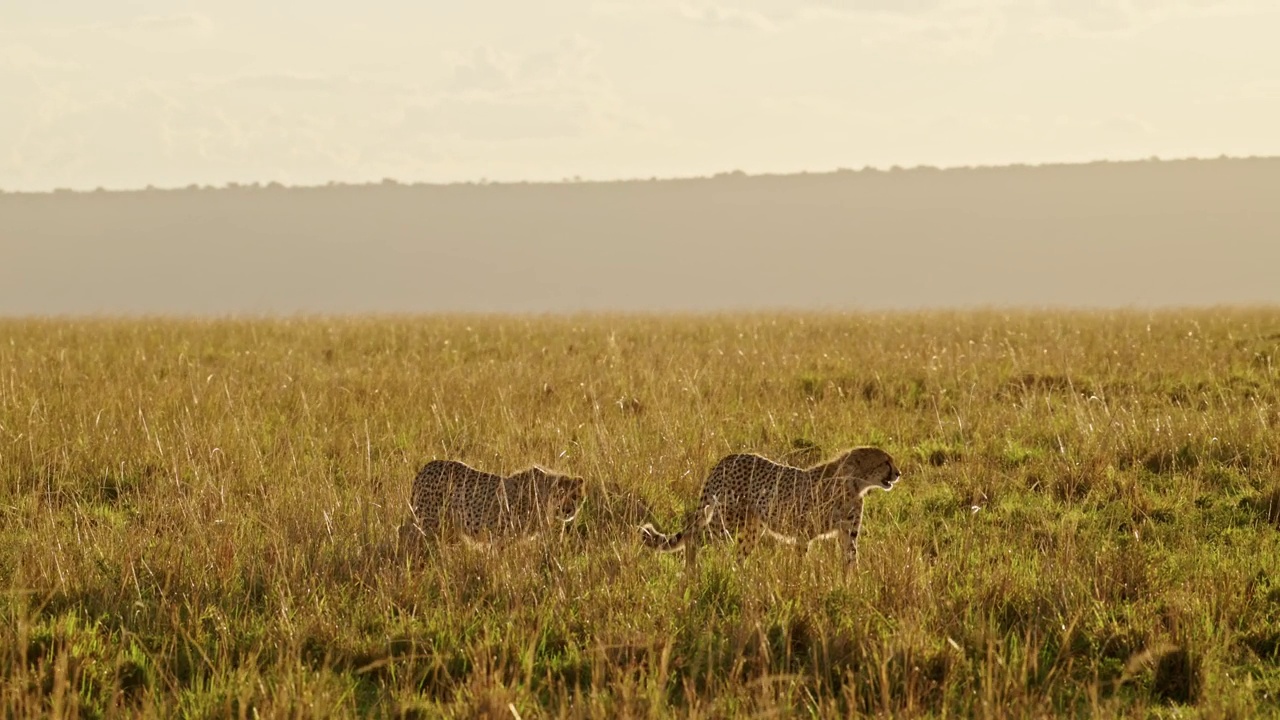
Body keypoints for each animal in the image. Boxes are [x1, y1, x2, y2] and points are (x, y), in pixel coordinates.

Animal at [396, 458, 586, 543]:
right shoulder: (499, 535)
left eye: (575, 496)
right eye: (560, 494)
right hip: (429, 523)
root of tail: (427, 465)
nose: (568, 510)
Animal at [640, 445, 901, 568]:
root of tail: (728, 458)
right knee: (695, 538)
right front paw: (798, 581)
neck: (854, 483)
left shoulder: (848, 533)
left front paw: (851, 587)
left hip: (750, 527)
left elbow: (850, 560)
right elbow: (800, 559)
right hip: (727, 520)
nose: (899, 473)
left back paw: (739, 579)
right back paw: (691, 574)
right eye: (885, 462)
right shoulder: (804, 531)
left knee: (738, 554)